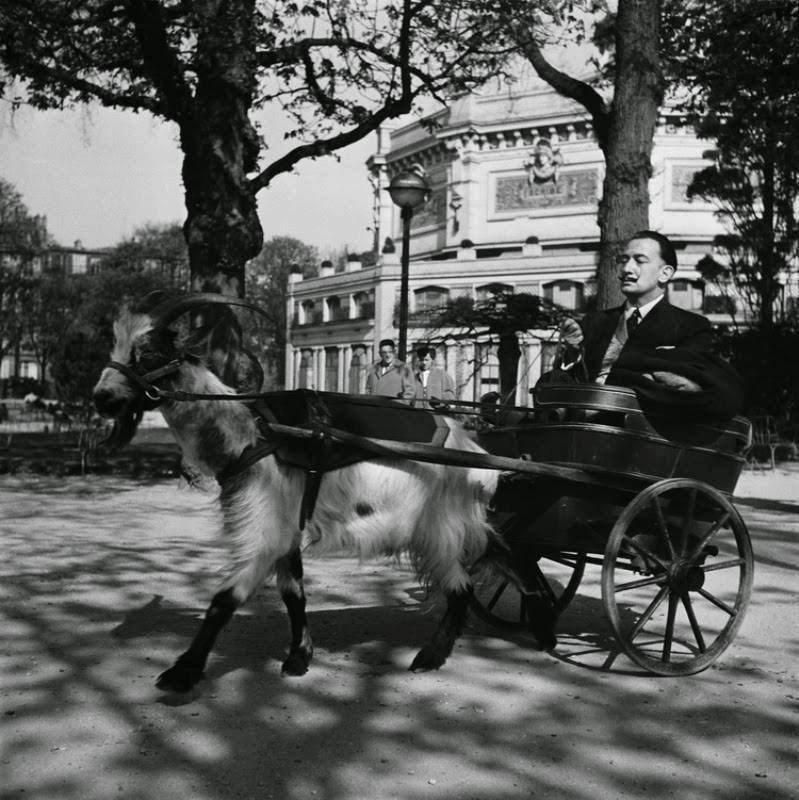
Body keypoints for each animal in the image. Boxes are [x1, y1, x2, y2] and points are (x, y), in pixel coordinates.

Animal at [94, 294, 500, 692]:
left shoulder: (267, 525)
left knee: (461, 588)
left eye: (148, 352)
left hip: (440, 526)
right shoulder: (286, 525)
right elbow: (294, 594)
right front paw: (299, 657)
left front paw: (183, 672)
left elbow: (225, 599)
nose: (101, 398)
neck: (251, 433)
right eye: (115, 345)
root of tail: (474, 449)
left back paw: (430, 656)